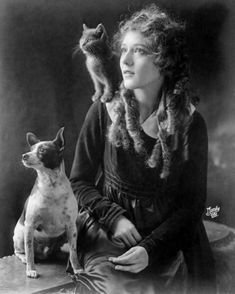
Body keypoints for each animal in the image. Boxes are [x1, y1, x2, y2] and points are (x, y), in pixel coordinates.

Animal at [13, 127, 82, 278]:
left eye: (43, 150)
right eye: (31, 149)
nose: (24, 155)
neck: (51, 184)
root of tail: (44, 255)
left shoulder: (71, 226)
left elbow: (74, 251)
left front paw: (77, 268)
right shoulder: (30, 225)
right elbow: (29, 251)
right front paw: (31, 270)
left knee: (58, 251)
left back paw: (60, 255)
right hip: (21, 233)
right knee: (20, 251)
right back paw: (24, 259)